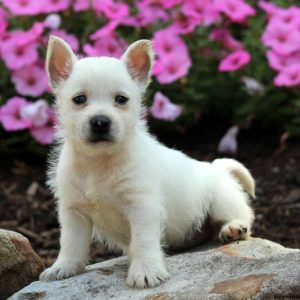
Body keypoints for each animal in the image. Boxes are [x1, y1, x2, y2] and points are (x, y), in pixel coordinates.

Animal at [39, 36, 255, 290]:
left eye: (121, 99)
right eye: (79, 99)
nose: (100, 122)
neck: (99, 162)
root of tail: (215, 167)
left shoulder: (142, 206)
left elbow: (143, 240)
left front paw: (145, 271)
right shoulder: (73, 211)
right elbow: (71, 242)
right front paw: (63, 267)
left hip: (221, 199)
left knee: (242, 215)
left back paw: (233, 228)